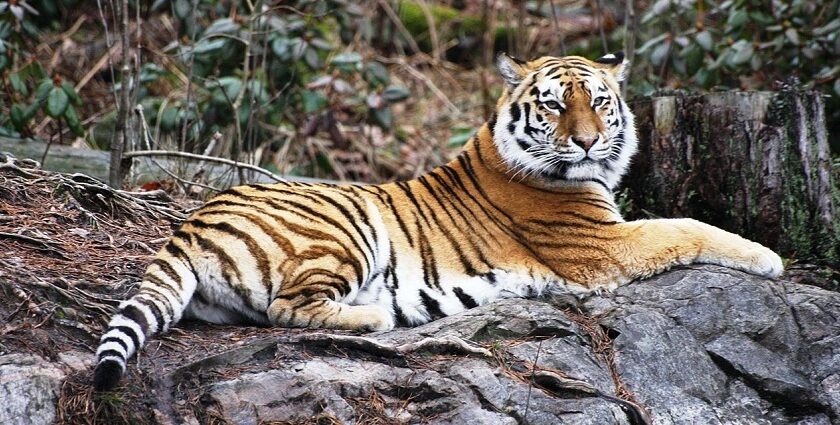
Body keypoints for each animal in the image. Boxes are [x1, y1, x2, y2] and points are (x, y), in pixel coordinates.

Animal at [92, 51, 780, 390]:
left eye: (599, 102)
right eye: (556, 105)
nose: (587, 143)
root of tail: (190, 221)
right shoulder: (600, 247)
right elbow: (686, 226)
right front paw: (770, 258)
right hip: (348, 224)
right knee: (290, 307)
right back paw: (377, 315)